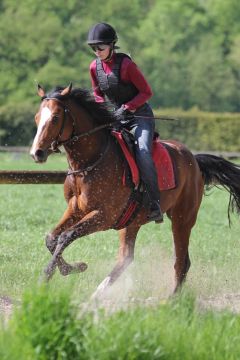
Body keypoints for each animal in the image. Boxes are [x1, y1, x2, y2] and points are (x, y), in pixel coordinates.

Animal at [30, 84, 240, 298]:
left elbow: (66, 236)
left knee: (181, 261)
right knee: (126, 257)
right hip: (132, 220)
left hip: (183, 219)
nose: (36, 153)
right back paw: (98, 294)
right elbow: (51, 238)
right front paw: (71, 268)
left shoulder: (104, 216)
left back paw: (171, 300)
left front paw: (49, 275)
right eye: (37, 118)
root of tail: (194, 161)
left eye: (55, 117)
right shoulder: (75, 209)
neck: (90, 163)